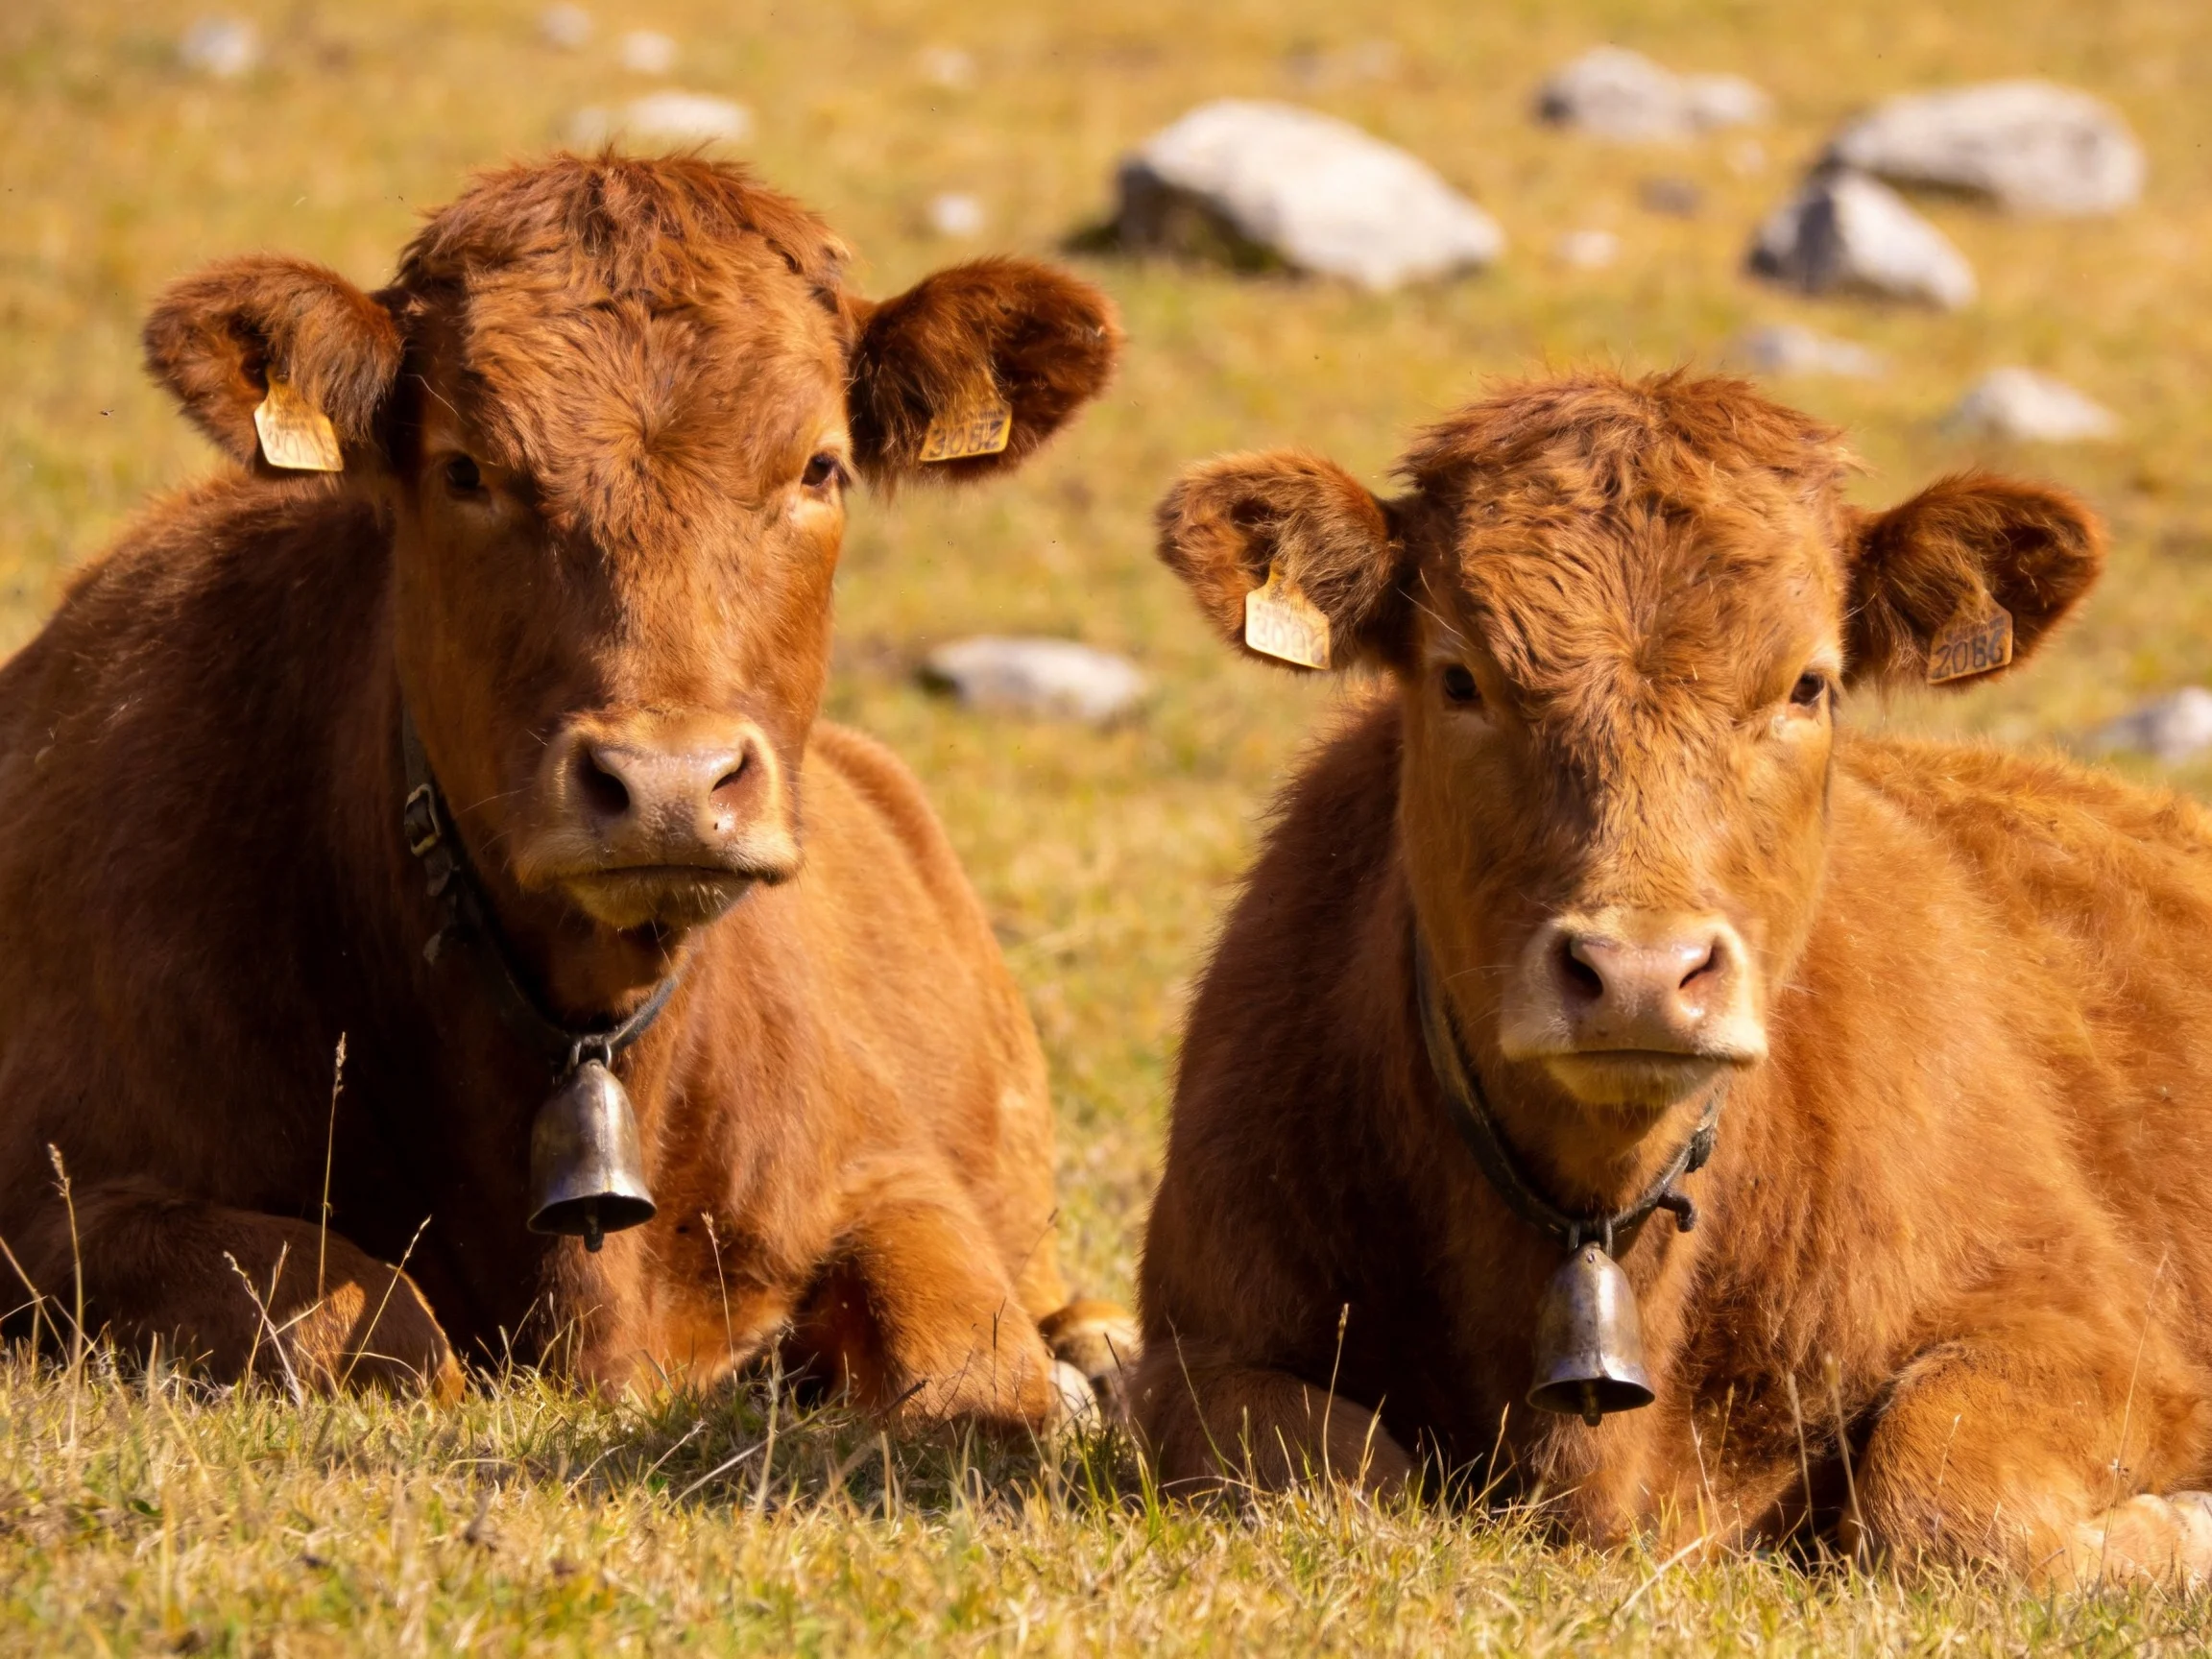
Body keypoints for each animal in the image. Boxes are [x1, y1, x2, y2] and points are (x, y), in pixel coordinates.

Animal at [0, 153, 1136, 1433]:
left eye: (820, 466)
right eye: (466, 470)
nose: (669, 782)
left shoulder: (892, 1174)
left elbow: (969, 1364)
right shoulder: (56, 1206)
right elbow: (374, 1323)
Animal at [1133, 369, 2212, 1583]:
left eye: (1808, 684)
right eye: (1462, 678)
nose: (1641, 971)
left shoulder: (2095, 1330)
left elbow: (1938, 1489)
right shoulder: (1198, 1341)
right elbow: (1330, 1479)